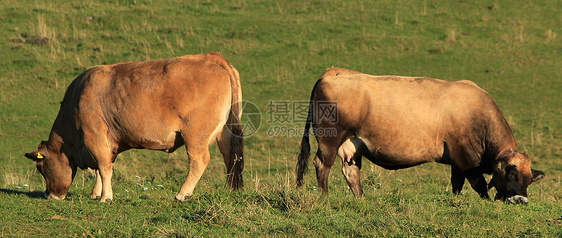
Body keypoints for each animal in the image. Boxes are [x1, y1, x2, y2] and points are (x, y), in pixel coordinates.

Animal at [24, 53, 243, 202]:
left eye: (40, 167)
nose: (49, 195)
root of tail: (211, 57)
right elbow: (100, 169)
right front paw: (96, 193)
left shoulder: (95, 136)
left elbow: (103, 167)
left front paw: (105, 197)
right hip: (224, 131)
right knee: (230, 157)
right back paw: (228, 189)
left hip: (195, 134)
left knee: (200, 160)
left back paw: (182, 194)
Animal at [298, 67, 544, 205]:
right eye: (510, 173)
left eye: (529, 179)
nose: (521, 200)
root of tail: (332, 73)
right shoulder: (465, 157)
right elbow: (479, 185)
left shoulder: (457, 161)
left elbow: (457, 185)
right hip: (329, 137)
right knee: (322, 164)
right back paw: (324, 197)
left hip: (352, 144)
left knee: (350, 171)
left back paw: (361, 199)